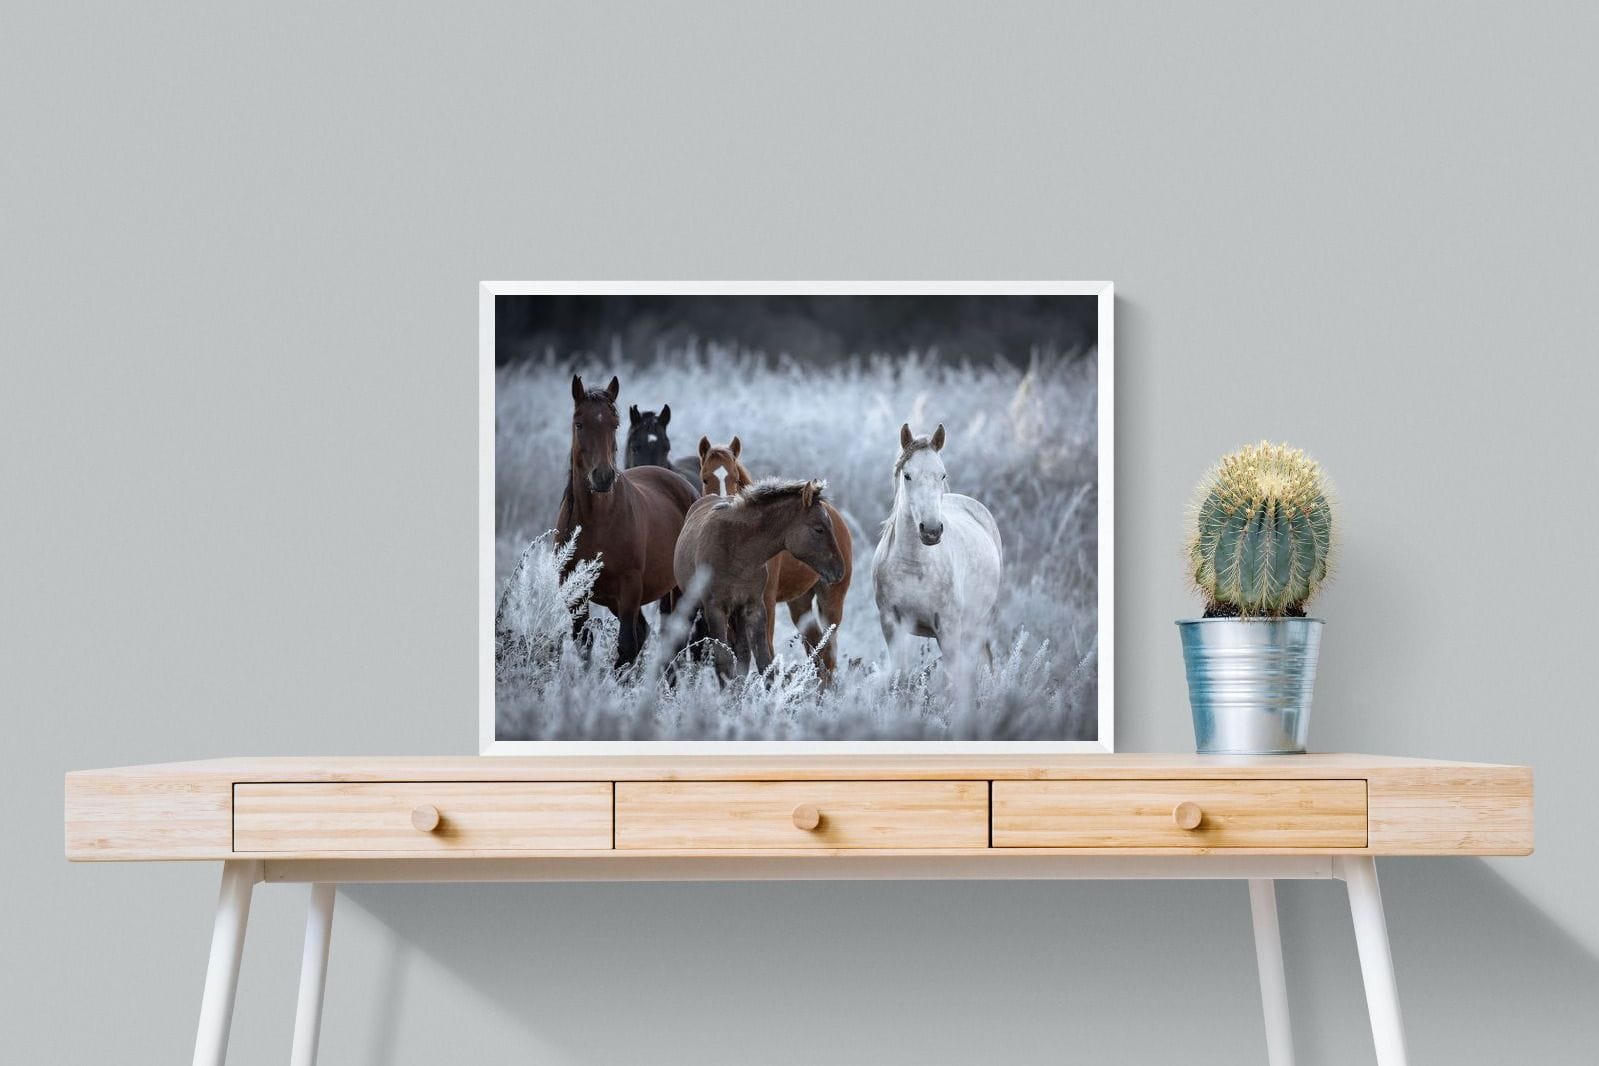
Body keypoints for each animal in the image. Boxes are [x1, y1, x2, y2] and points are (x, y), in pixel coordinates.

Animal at [556, 375, 698, 668]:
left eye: (615, 424)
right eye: (579, 423)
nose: (602, 477)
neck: (595, 522)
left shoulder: (630, 589)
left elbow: (625, 648)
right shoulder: (575, 593)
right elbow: (584, 645)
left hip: (678, 590)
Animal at [673, 478, 845, 680]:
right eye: (819, 529)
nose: (839, 570)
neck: (737, 551)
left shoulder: (753, 607)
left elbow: (764, 662)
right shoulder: (715, 609)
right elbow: (724, 662)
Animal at [698, 436, 854, 680]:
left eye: (735, 478)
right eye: (705, 477)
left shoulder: (765, 602)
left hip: (831, 600)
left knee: (828, 653)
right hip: (800, 602)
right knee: (816, 647)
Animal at [872, 422, 1003, 673]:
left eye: (942, 474)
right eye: (907, 475)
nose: (931, 531)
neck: (913, 566)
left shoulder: (948, 629)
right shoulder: (891, 625)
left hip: (978, 626)